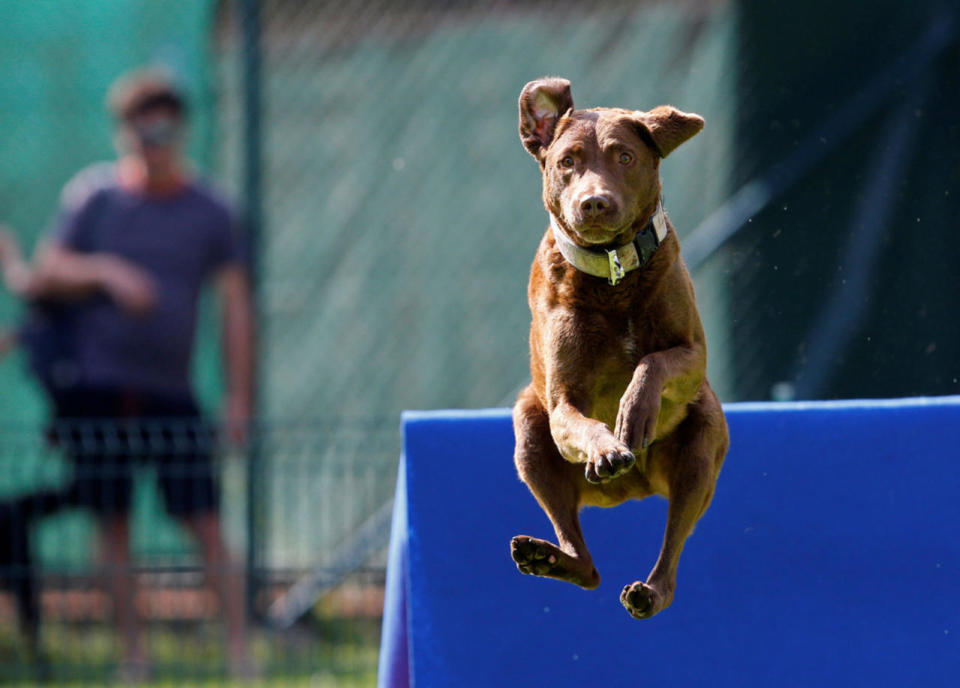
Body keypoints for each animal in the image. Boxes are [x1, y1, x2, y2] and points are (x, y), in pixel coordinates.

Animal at [510, 78, 728, 620]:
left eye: (624, 157)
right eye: (567, 161)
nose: (593, 203)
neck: (613, 272)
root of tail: (635, 491)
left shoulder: (692, 355)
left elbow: (652, 362)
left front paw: (634, 414)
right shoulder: (562, 403)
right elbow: (583, 421)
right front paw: (609, 446)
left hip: (702, 440)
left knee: (670, 558)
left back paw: (649, 592)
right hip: (528, 429)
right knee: (587, 566)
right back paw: (546, 556)